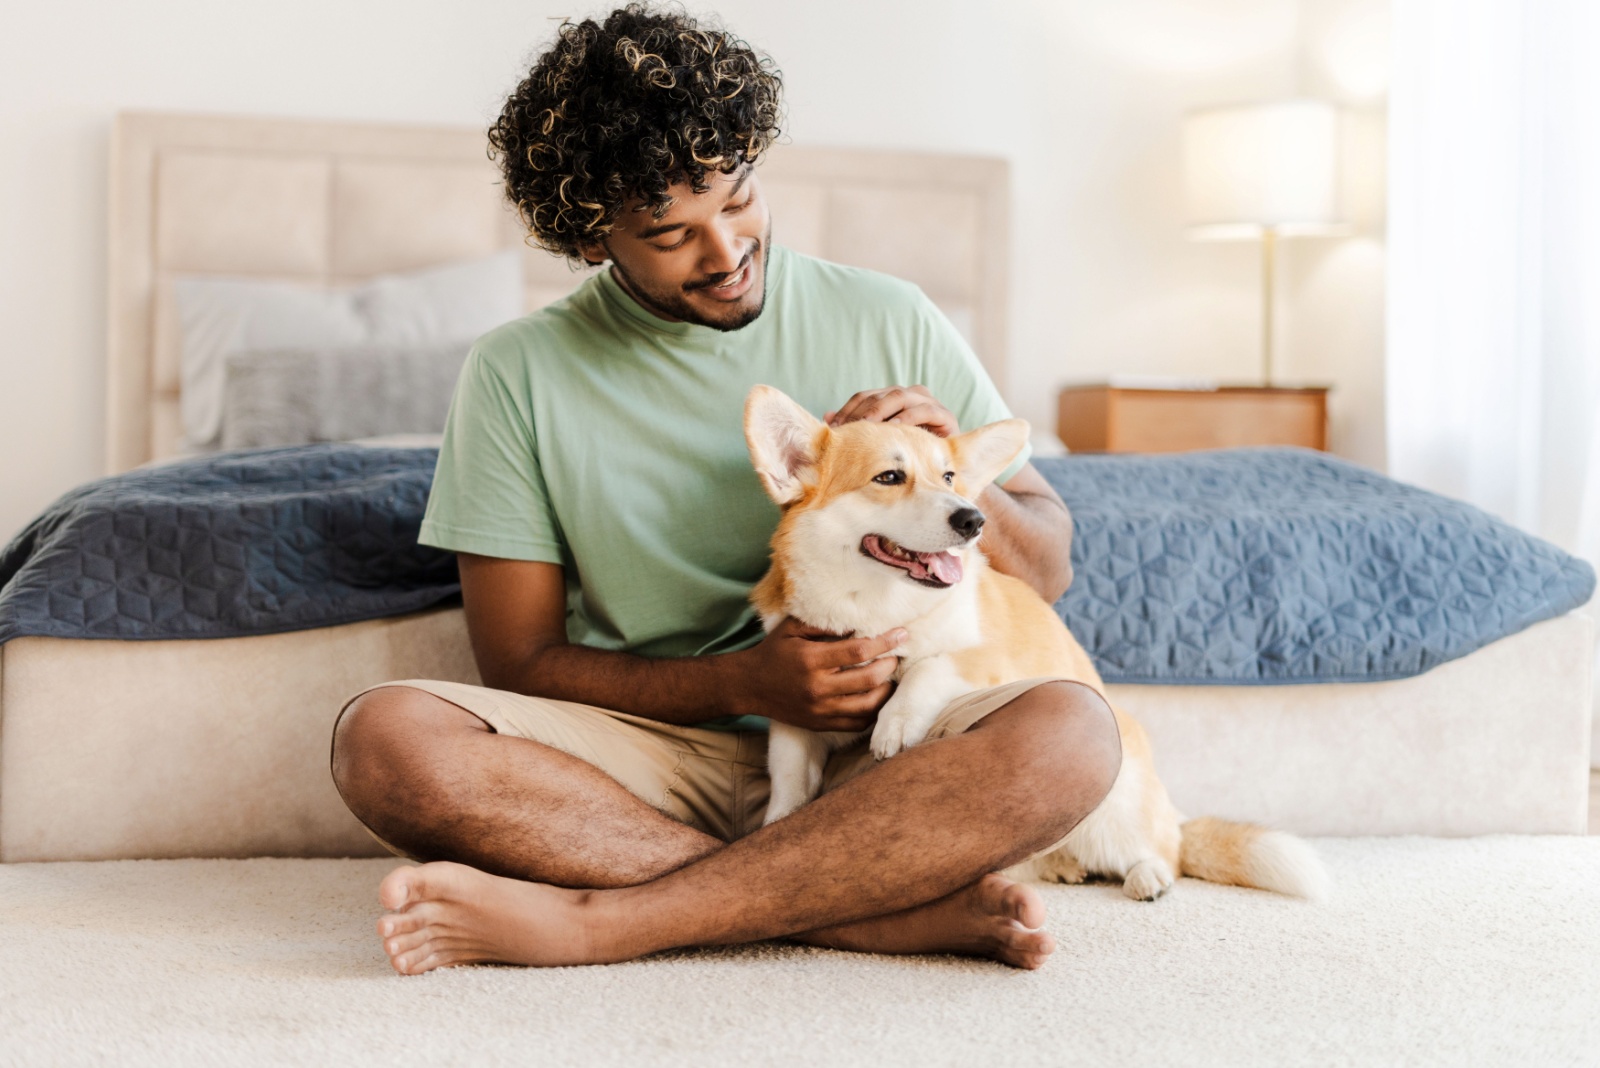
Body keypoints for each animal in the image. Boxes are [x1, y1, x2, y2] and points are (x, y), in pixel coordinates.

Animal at [742, 383, 1331, 901]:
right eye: (889, 477)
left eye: (949, 476)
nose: (974, 519)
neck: (870, 605)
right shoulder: (796, 714)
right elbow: (789, 784)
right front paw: (774, 828)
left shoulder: (979, 654)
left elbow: (928, 667)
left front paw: (896, 721)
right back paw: (1062, 869)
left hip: (1114, 812)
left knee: (1164, 853)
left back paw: (1148, 876)